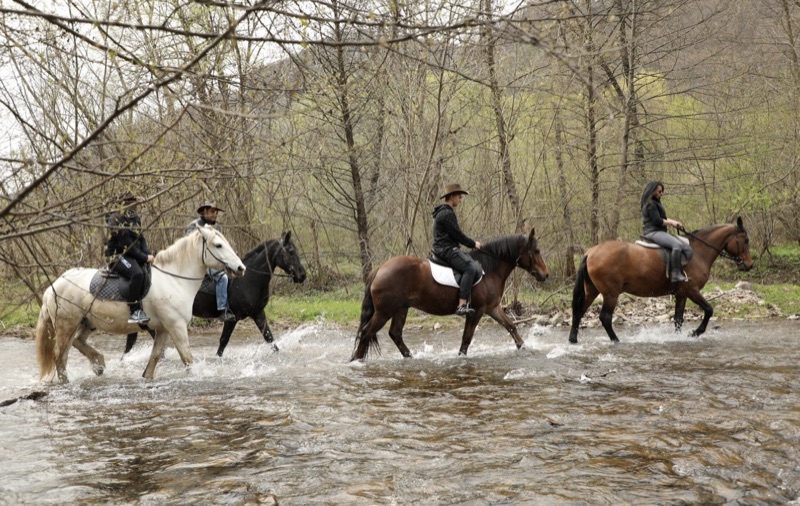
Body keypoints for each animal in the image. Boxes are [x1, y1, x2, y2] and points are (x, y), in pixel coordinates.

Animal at [35, 226, 246, 382]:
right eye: (218, 245)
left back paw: (99, 364)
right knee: (60, 355)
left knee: (77, 343)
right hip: (66, 325)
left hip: (86, 323)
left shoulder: (163, 328)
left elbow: (155, 357)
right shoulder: (176, 326)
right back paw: (68, 382)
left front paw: (147, 378)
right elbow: (187, 358)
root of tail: (53, 287)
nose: (240, 268)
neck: (174, 279)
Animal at [123, 231, 307, 357]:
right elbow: (223, 342)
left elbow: (270, 339)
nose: (302, 275)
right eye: (291, 251)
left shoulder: (258, 313)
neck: (248, 280)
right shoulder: (233, 319)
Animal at [350, 229, 549, 361]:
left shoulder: (492, 308)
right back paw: (356, 361)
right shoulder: (477, 310)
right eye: (536, 251)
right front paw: (461, 358)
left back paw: (410, 357)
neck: (489, 269)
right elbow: (467, 338)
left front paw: (524, 347)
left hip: (401, 309)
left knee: (395, 334)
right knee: (367, 332)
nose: (546, 275)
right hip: (384, 312)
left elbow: (511, 326)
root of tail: (379, 269)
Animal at [568, 217, 753, 344]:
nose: (749, 265)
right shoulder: (692, 290)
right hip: (611, 294)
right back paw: (616, 341)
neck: (698, 252)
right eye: (745, 240)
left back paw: (573, 339)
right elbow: (709, 310)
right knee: (605, 318)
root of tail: (590, 252)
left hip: (592, 290)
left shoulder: (681, 294)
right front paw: (695, 332)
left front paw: (679, 337)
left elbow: (678, 319)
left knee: (579, 312)